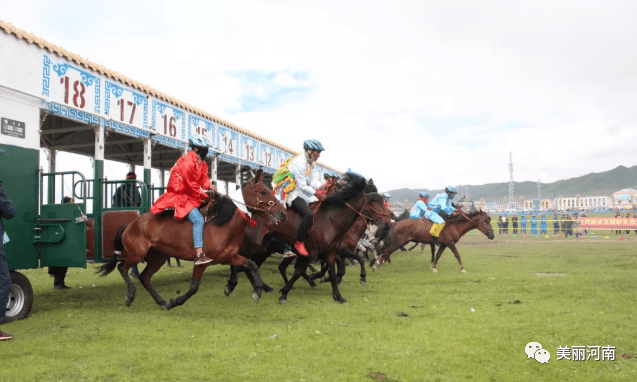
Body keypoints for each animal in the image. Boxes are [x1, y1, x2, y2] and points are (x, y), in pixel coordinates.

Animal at [97, 170, 286, 310]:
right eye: (263, 192)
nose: (283, 213)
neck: (221, 224)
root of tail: (131, 224)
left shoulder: (230, 256)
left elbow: (251, 265)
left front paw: (257, 290)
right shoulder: (201, 262)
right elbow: (194, 287)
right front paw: (175, 302)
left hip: (158, 257)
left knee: (144, 277)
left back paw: (161, 301)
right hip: (137, 254)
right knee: (123, 268)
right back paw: (130, 295)